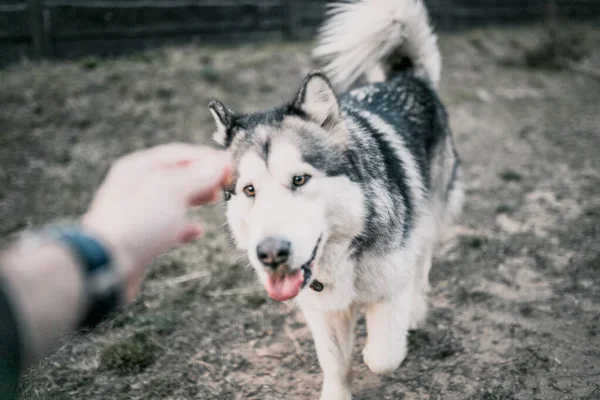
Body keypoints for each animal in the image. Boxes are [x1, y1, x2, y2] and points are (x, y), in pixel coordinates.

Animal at [211, 0, 464, 396]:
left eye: (299, 179)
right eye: (249, 190)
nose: (270, 254)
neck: (343, 251)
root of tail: (407, 79)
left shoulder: (390, 289)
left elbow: (383, 356)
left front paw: (375, 349)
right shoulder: (320, 311)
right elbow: (333, 362)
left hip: (428, 216)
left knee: (422, 264)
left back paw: (416, 310)